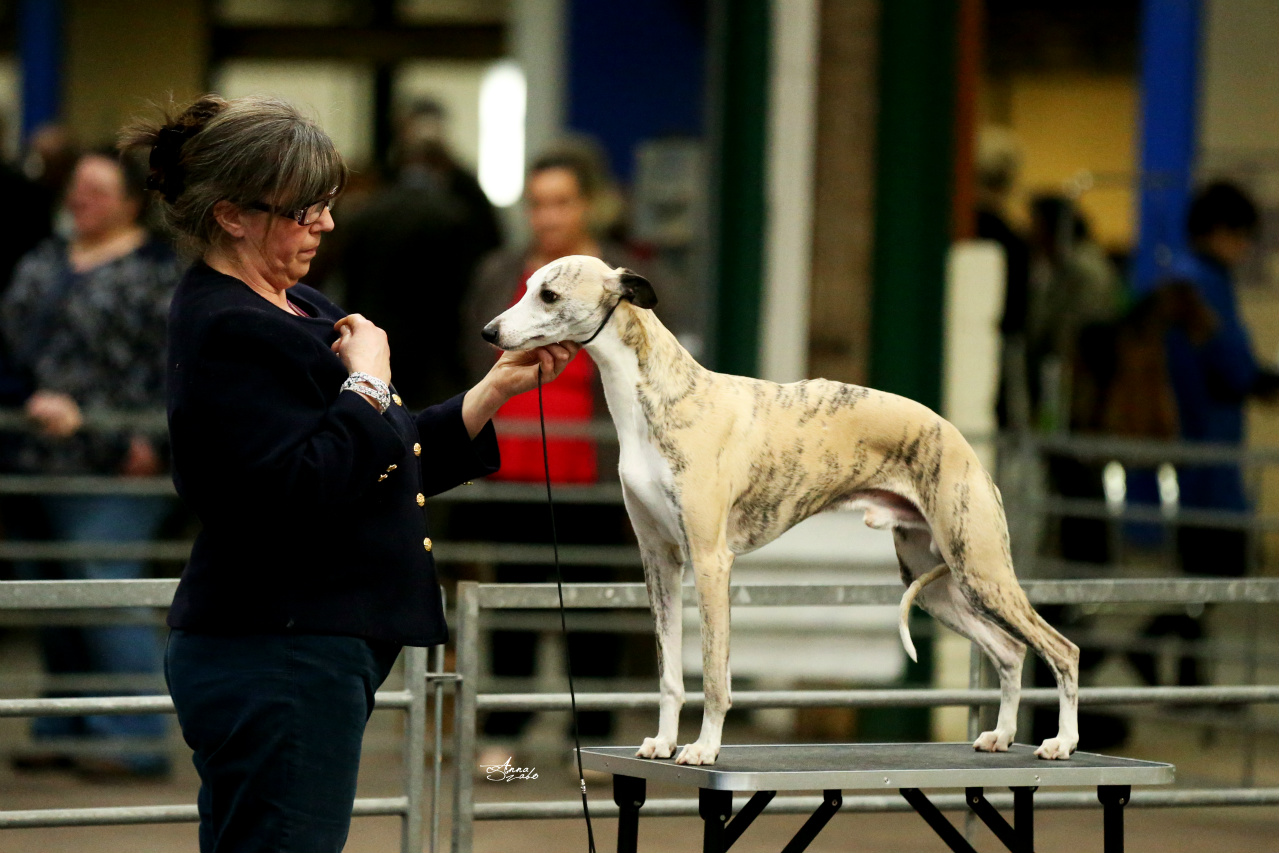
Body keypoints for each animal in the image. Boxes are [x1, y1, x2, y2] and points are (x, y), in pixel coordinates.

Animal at [480, 255, 1079, 767]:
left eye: (549, 294)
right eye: (527, 286)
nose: (489, 333)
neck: (662, 399)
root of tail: (965, 446)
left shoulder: (711, 561)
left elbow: (715, 674)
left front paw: (703, 749)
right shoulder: (660, 560)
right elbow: (670, 674)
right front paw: (663, 743)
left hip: (980, 570)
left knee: (1062, 649)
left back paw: (1061, 743)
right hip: (939, 582)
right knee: (1010, 650)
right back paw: (1001, 736)